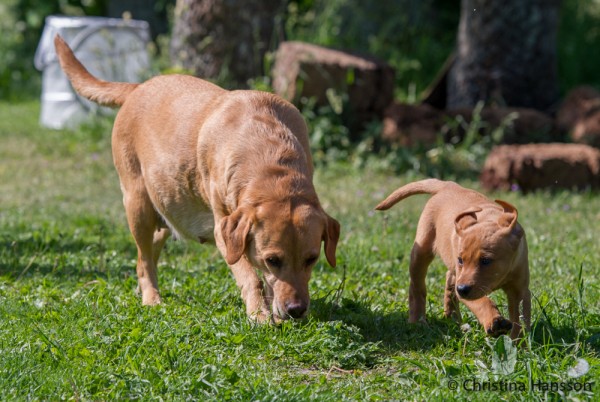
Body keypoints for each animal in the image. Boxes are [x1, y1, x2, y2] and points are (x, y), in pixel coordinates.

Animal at [53, 35, 340, 324]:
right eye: (273, 260)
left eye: (312, 259)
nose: (296, 310)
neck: (270, 156)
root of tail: (139, 86)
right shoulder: (225, 232)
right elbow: (252, 278)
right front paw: (259, 316)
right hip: (138, 206)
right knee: (144, 260)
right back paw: (152, 299)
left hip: (167, 207)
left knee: (146, 255)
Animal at [378, 177, 532, 338]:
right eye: (461, 260)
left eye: (486, 260)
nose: (462, 289)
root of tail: (448, 185)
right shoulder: (465, 283)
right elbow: (482, 302)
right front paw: (495, 322)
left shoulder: (520, 290)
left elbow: (520, 318)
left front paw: (520, 341)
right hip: (421, 251)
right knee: (417, 287)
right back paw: (417, 321)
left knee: (449, 280)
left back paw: (451, 316)